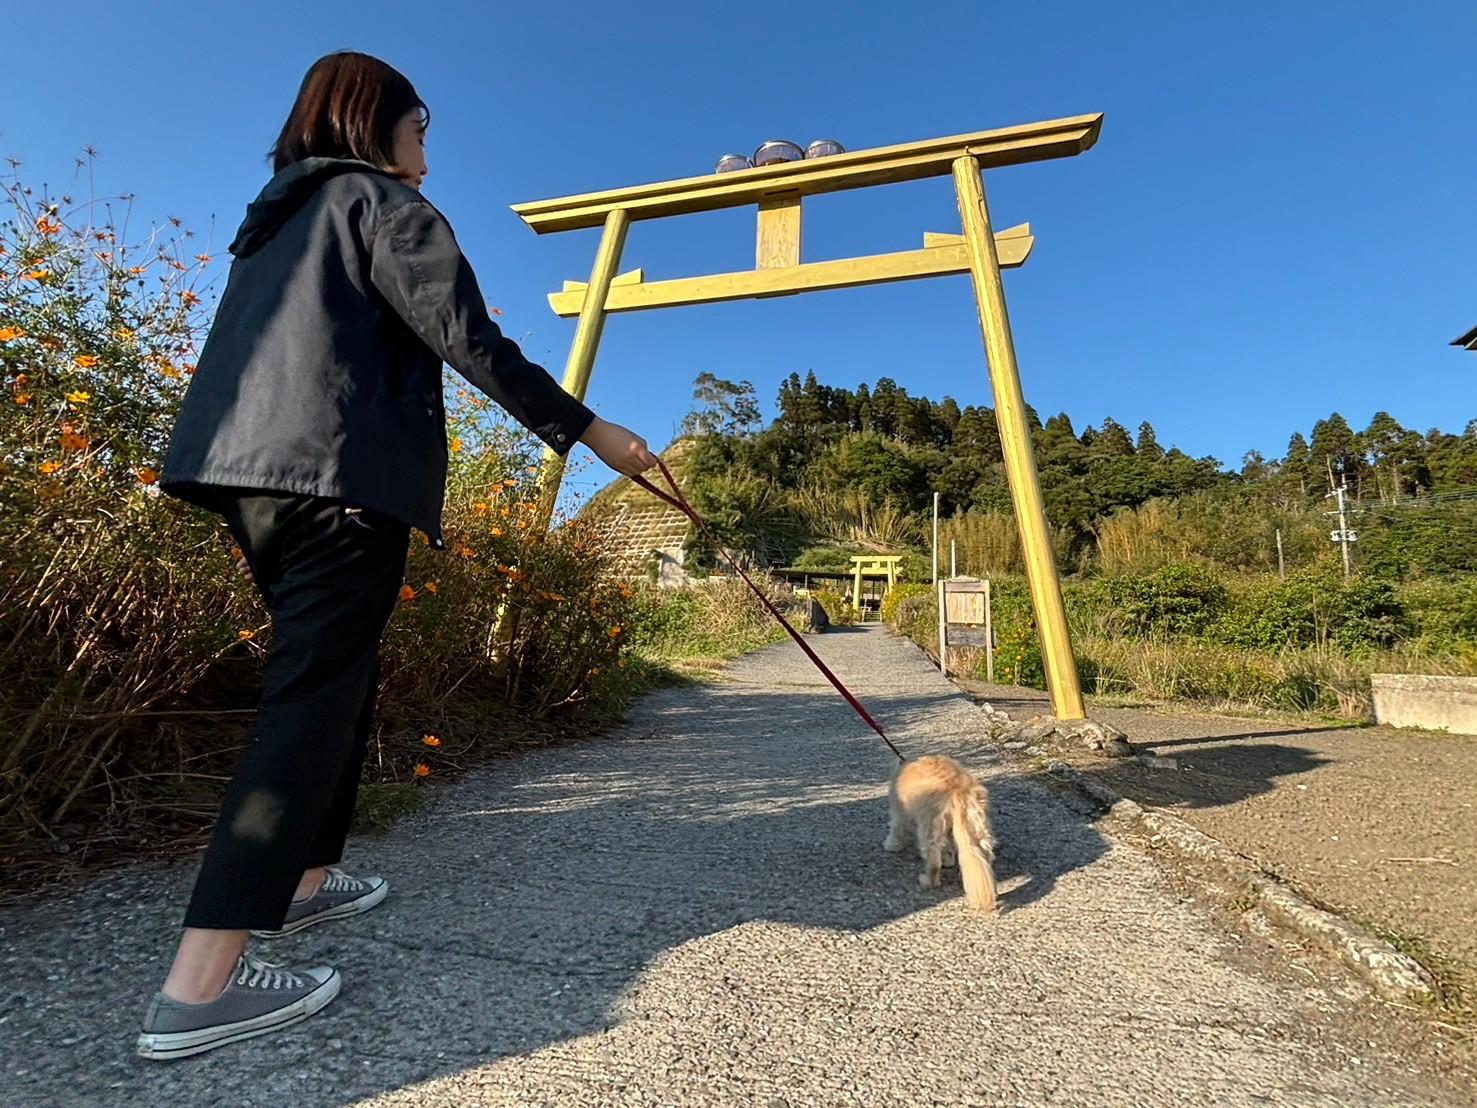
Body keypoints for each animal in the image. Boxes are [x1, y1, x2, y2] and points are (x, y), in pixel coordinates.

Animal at [880, 762, 998, 915]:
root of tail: (958, 790)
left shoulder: (899, 809)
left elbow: (896, 827)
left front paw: (892, 845)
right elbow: (948, 847)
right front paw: (948, 860)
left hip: (930, 826)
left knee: (934, 865)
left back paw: (927, 881)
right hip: (977, 826)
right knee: (986, 855)